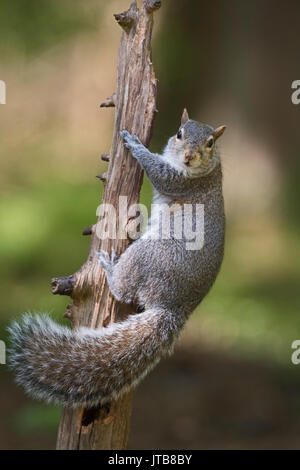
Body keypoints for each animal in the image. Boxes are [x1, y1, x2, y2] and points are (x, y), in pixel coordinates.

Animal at [8, 109, 226, 408]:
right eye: (179, 133)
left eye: (210, 143)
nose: (189, 157)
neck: (207, 170)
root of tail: (174, 307)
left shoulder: (181, 181)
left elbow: (158, 172)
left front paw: (135, 144)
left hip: (147, 256)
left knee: (123, 290)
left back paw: (110, 268)